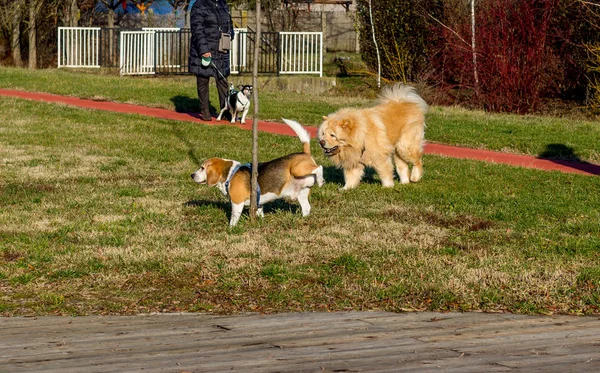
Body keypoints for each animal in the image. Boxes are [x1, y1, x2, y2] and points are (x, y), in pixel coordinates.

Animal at [191, 117, 324, 225]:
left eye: (202, 168)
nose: (192, 175)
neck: (230, 174)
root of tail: (305, 153)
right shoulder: (258, 204)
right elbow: (260, 214)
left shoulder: (237, 203)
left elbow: (233, 218)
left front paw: (231, 229)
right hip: (302, 193)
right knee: (307, 208)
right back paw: (304, 219)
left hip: (298, 169)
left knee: (319, 167)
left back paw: (321, 180)